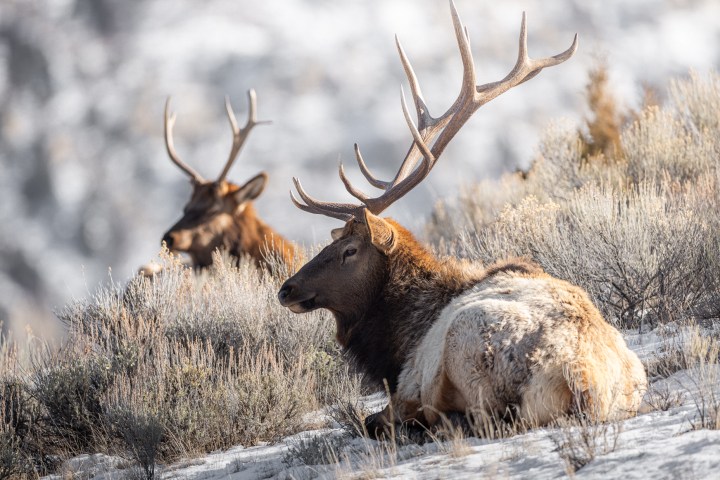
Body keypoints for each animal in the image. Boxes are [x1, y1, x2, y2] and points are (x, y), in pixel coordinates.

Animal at [277, 1, 647, 436]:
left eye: (349, 250)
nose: (286, 289)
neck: (398, 336)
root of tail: (582, 378)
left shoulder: (408, 380)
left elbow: (374, 417)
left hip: (463, 346)